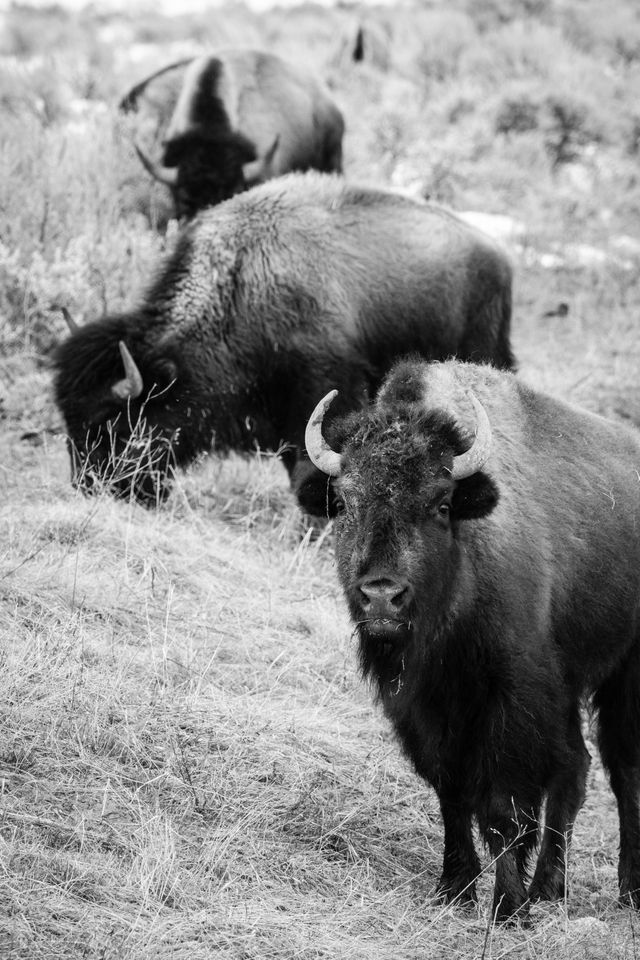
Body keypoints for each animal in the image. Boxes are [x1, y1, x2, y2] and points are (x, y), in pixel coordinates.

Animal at [53, 175, 516, 510]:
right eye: (68, 418)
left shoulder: (320, 393)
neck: (240, 283)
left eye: (114, 422)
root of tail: (498, 256)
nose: (89, 485)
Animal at [302, 358, 640, 924]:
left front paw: (507, 909)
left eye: (440, 503)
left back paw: (627, 891)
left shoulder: (512, 701)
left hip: (623, 677)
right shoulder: (426, 710)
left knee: (623, 771)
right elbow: (452, 796)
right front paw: (455, 888)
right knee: (576, 768)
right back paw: (550, 888)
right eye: (345, 501)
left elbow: (503, 806)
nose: (381, 597)